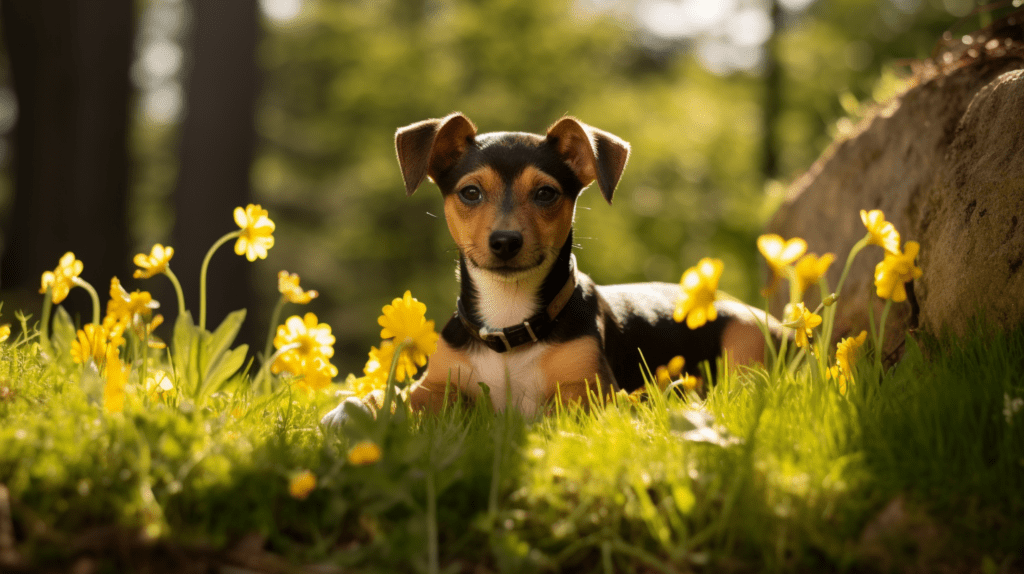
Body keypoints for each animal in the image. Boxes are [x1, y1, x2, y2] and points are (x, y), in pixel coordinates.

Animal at [323, 113, 778, 421]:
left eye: (546, 193)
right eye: (470, 193)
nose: (505, 241)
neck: (509, 324)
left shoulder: (591, 389)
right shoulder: (436, 384)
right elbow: (395, 398)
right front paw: (352, 410)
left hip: (745, 340)